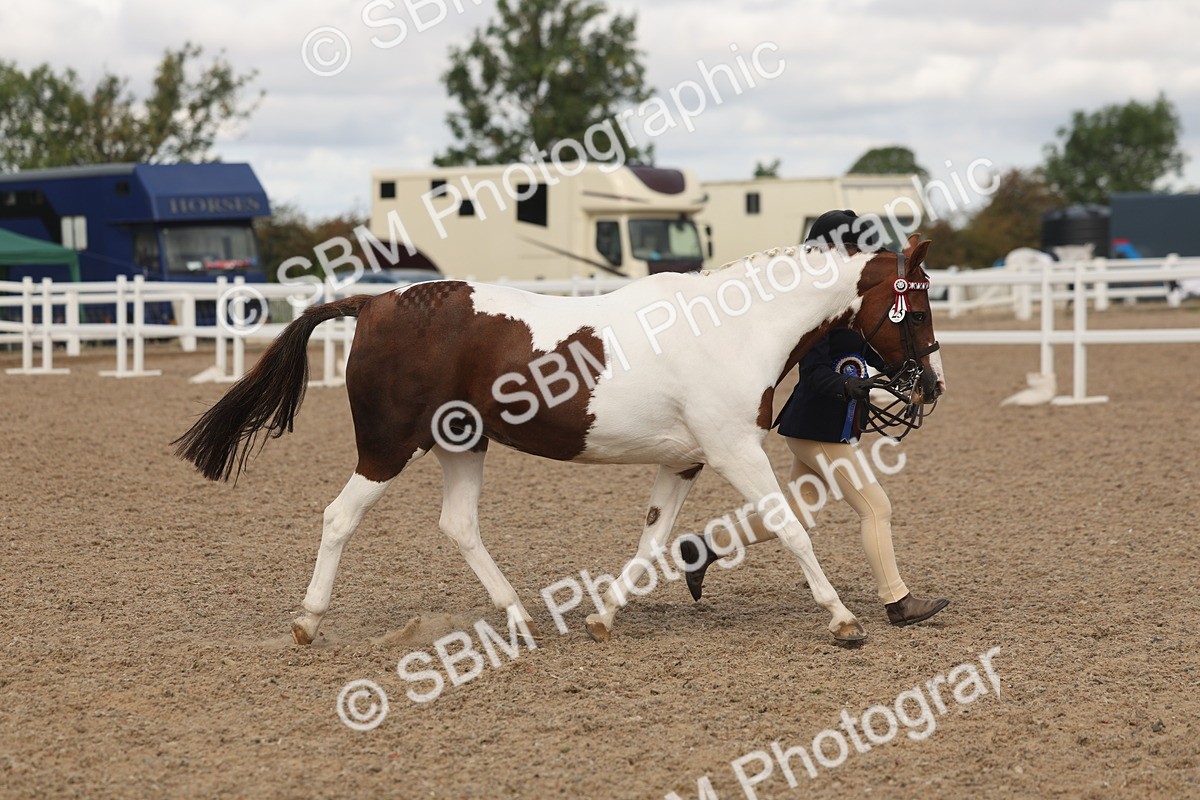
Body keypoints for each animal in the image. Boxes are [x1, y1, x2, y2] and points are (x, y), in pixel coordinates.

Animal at [174, 234, 945, 646]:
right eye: (916, 306)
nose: (930, 385)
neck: (733, 329)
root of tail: (374, 301)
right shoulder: (734, 452)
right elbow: (790, 528)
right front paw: (844, 620)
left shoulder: (687, 462)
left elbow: (652, 540)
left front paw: (604, 618)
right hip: (389, 447)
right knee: (339, 518)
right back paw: (307, 624)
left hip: (462, 443)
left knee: (459, 524)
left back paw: (518, 619)